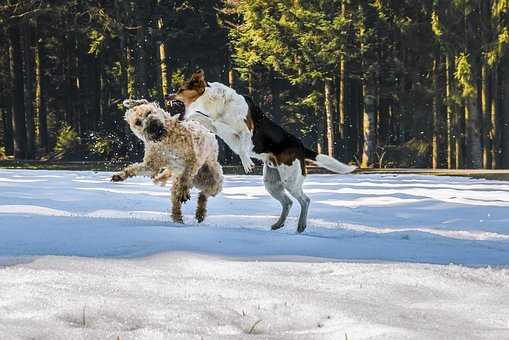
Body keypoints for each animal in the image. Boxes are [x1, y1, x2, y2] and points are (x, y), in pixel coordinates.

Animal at [167, 70, 354, 232]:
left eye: (181, 89)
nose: (168, 95)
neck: (217, 105)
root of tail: (300, 145)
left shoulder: (246, 130)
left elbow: (242, 146)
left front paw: (247, 163)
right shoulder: (214, 125)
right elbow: (200, 118)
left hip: (290, 180)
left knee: (305, 200)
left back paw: (301, 225)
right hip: (272, 183)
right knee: (288, 202)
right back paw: (278, 224)